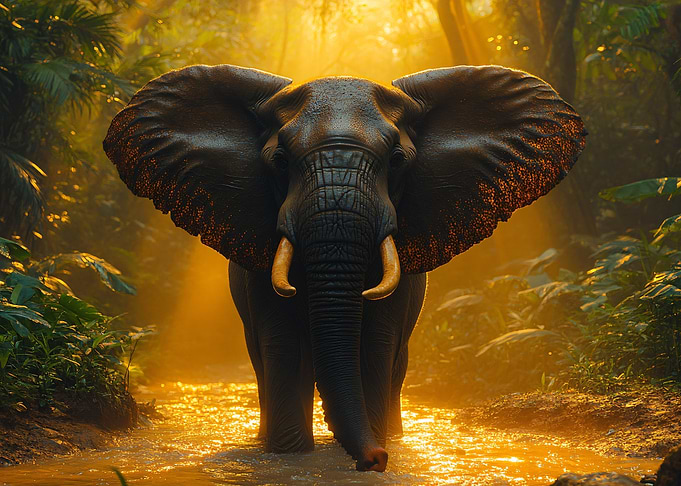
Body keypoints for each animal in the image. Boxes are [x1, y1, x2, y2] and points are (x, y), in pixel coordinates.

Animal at [103, 63, 586, 472]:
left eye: (397, 161)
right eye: (279, 162)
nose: (375, 461)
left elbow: (375, 340)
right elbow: (281, 339)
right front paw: (288, 455)